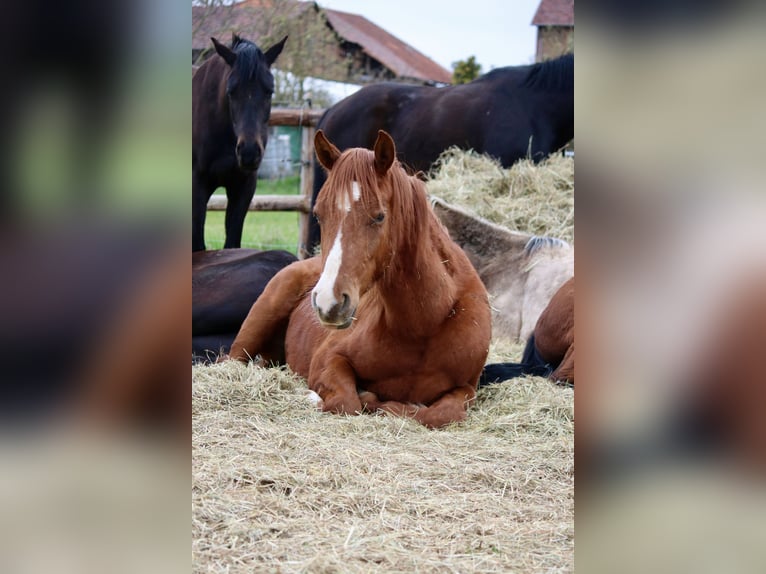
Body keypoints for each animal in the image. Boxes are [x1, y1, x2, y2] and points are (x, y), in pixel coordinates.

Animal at [192, 34, 287, 251]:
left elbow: (232, 244)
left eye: (269, 91)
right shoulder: (197, 186)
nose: (249, 152)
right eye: (231, 91)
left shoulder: (244, 187)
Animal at [226, 130, 492, 428]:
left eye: (379, 216)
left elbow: (440, 413)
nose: (328, 302)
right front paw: (327, 397)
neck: (426, 324)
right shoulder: (329, 359)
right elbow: (348, 402)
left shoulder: (466, 388)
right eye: (318, 214)